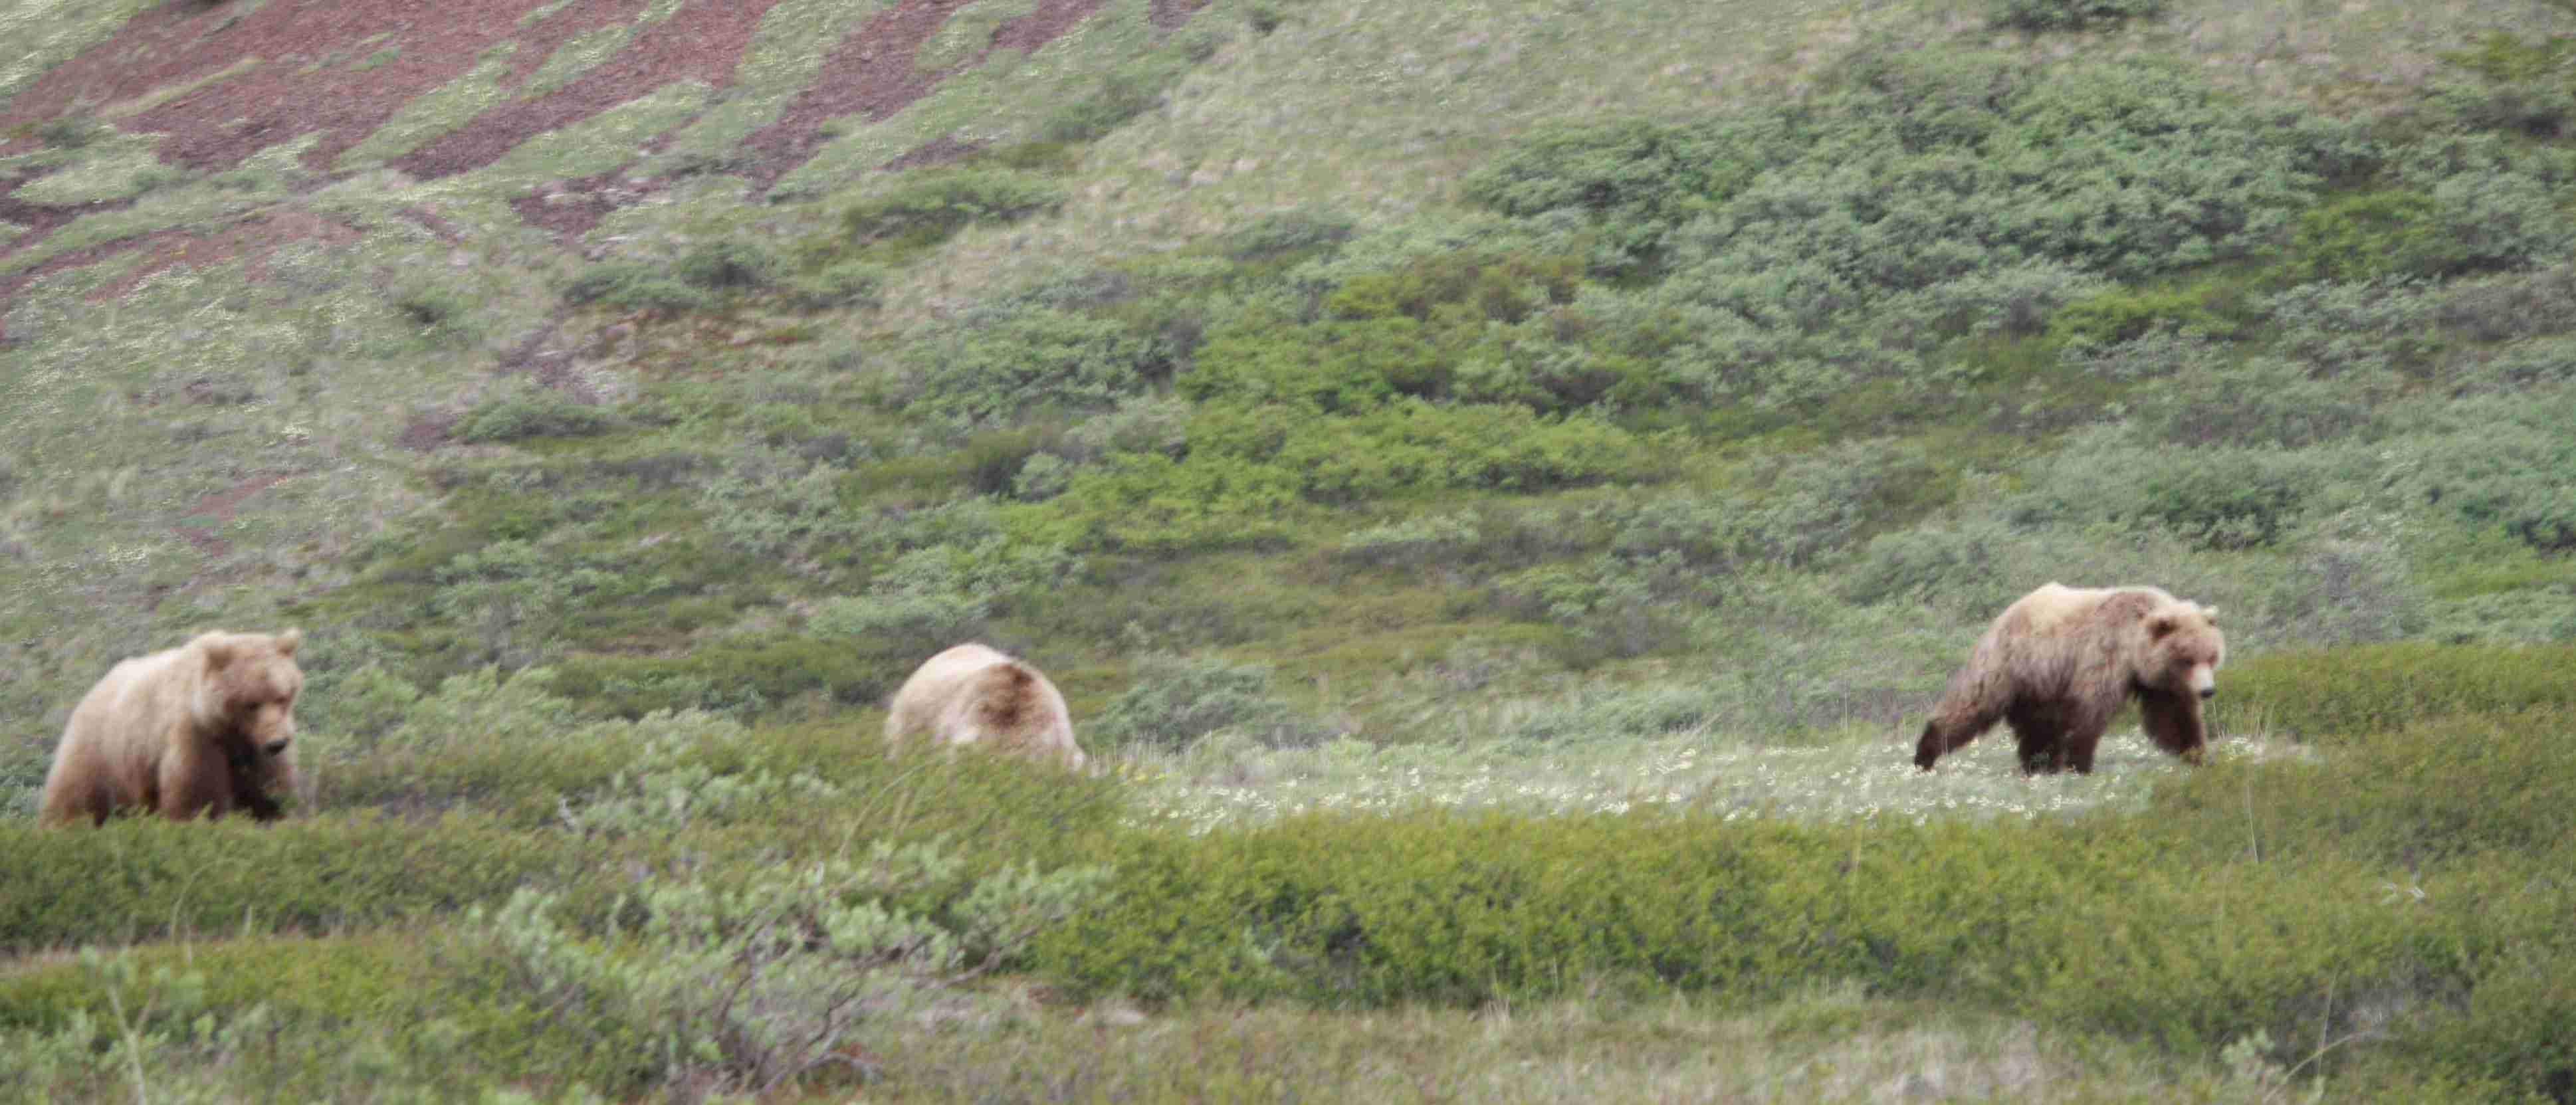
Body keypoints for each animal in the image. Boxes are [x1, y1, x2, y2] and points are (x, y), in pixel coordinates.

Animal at [37, 629, 306, 827]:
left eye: (282, 697)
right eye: (252, 703)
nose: (277, 743)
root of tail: (91, 692)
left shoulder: (257, 749)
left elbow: (273, 791)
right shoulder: (196, 736)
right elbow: (196, 799)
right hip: (98, 757)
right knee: (73, 802)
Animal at [1912, 583, 2224, 775]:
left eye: (2211, 656)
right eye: (2187, 658)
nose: (2208, 691)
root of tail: (2005, 613)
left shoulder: (2158, 683)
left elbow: (2173, 718)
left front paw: (2198, 756)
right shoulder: (2101, 657)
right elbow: (2089, 713)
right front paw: (2080, 765)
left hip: (2042, 683)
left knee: (2039, 728)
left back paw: (2038, 766)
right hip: (2011, 664)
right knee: (1973, 704)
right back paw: (1925, 756)